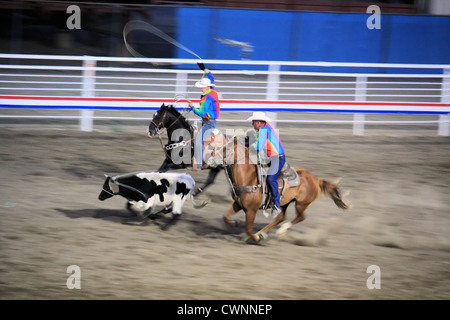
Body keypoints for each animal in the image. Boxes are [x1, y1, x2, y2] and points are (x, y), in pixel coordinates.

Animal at [206, 136, 350, 244]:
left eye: (227, 149)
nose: (210, 159)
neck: (248, 178)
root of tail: (316, 179)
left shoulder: (251, 210)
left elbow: (248, 229)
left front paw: (256, 238)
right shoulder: (238, 204)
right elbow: (225, 216)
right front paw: (234, 223)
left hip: (301, 204)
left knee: (300, 217)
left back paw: (279, 231)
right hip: (284, 202)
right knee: (281, 217)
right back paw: (263, 232)